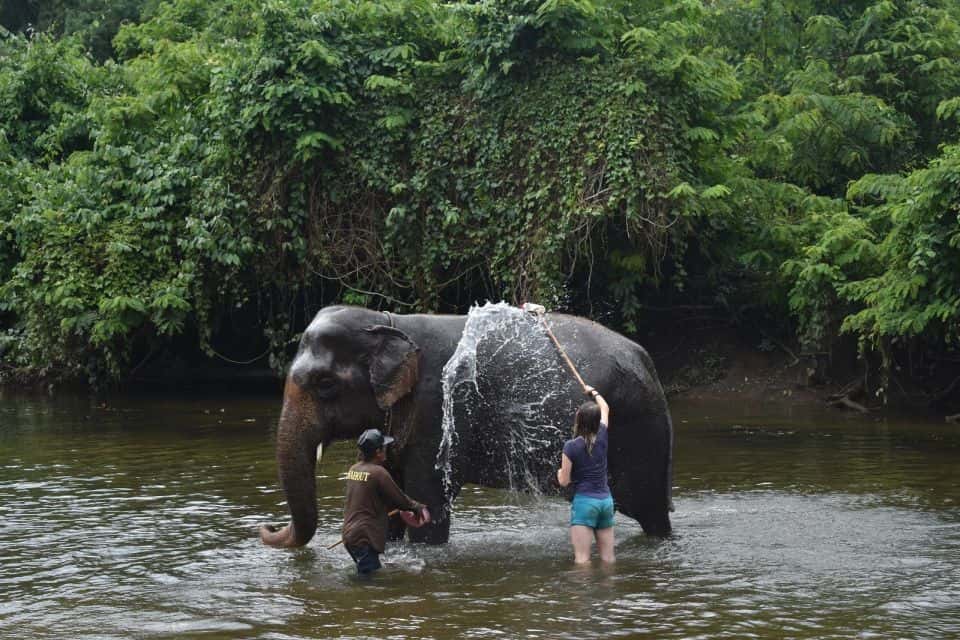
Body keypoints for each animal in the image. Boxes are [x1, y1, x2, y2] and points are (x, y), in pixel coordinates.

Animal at [259, 304, 674, 548]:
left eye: (325, 384)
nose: (267, 527)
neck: (390, 322)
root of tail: (647, 360)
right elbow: (390, 493)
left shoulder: (436, 410)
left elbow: (427, 502)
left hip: (642, 432)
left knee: (652, 512)